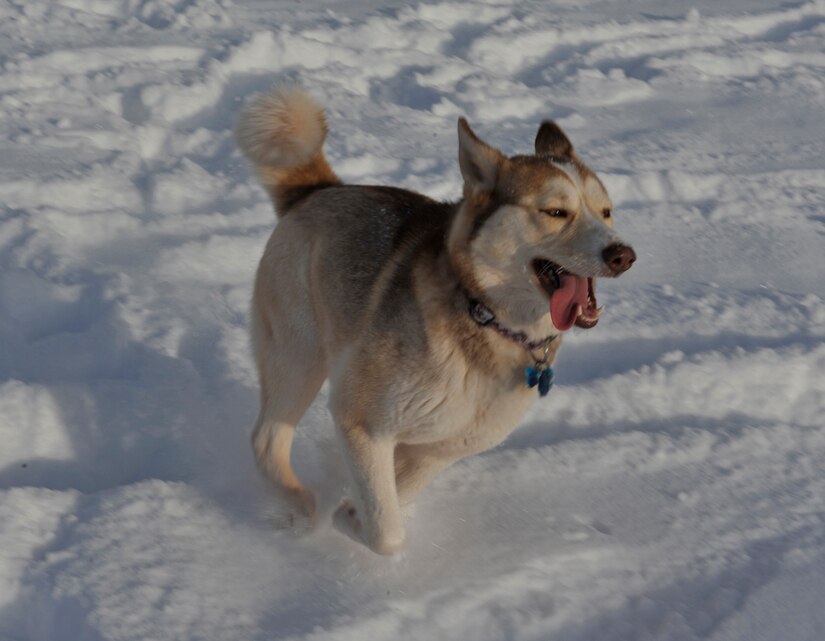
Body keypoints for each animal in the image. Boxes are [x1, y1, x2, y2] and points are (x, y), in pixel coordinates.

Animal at [235, 86, 636, 556]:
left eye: (606, 211)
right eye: (556, 212)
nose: (623, 254)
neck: (483, 316)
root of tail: (320, 191)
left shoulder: (439, 449)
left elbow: (397, 487)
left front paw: (351, 510)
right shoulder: (361, 420)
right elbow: (387, 531)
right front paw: (349, 518)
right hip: (299, 356)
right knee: (266, 439)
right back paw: (300, 506)